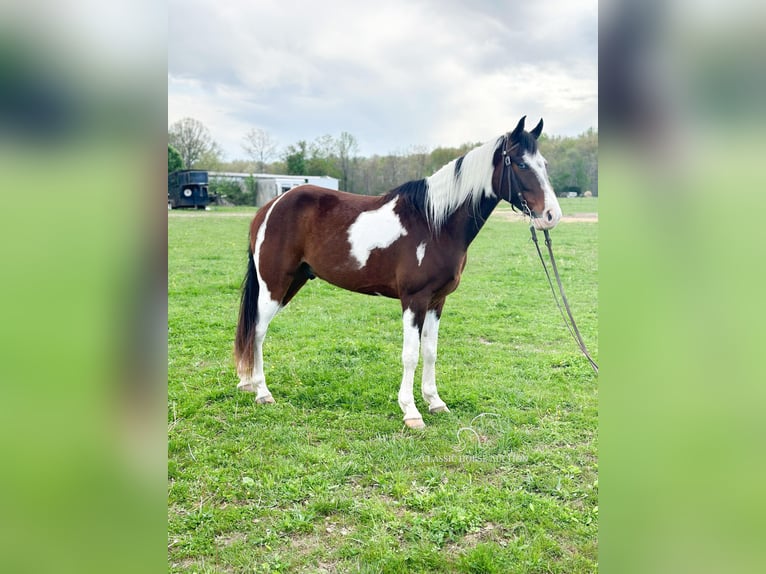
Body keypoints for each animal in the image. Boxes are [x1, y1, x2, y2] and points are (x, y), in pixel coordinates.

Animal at [234, 117, 564, 430]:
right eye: (521, 164)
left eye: (545, 164)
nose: (551, 216)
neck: (434, 223)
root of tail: (269, 207)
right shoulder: (413, 300)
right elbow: (411, 354)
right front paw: (411, 412)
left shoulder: (437, 301)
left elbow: (430, 351)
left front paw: (434, 401)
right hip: (274, 285)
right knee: (258, 331)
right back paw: (262, 392)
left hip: (294, 282)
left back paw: (248, 383)